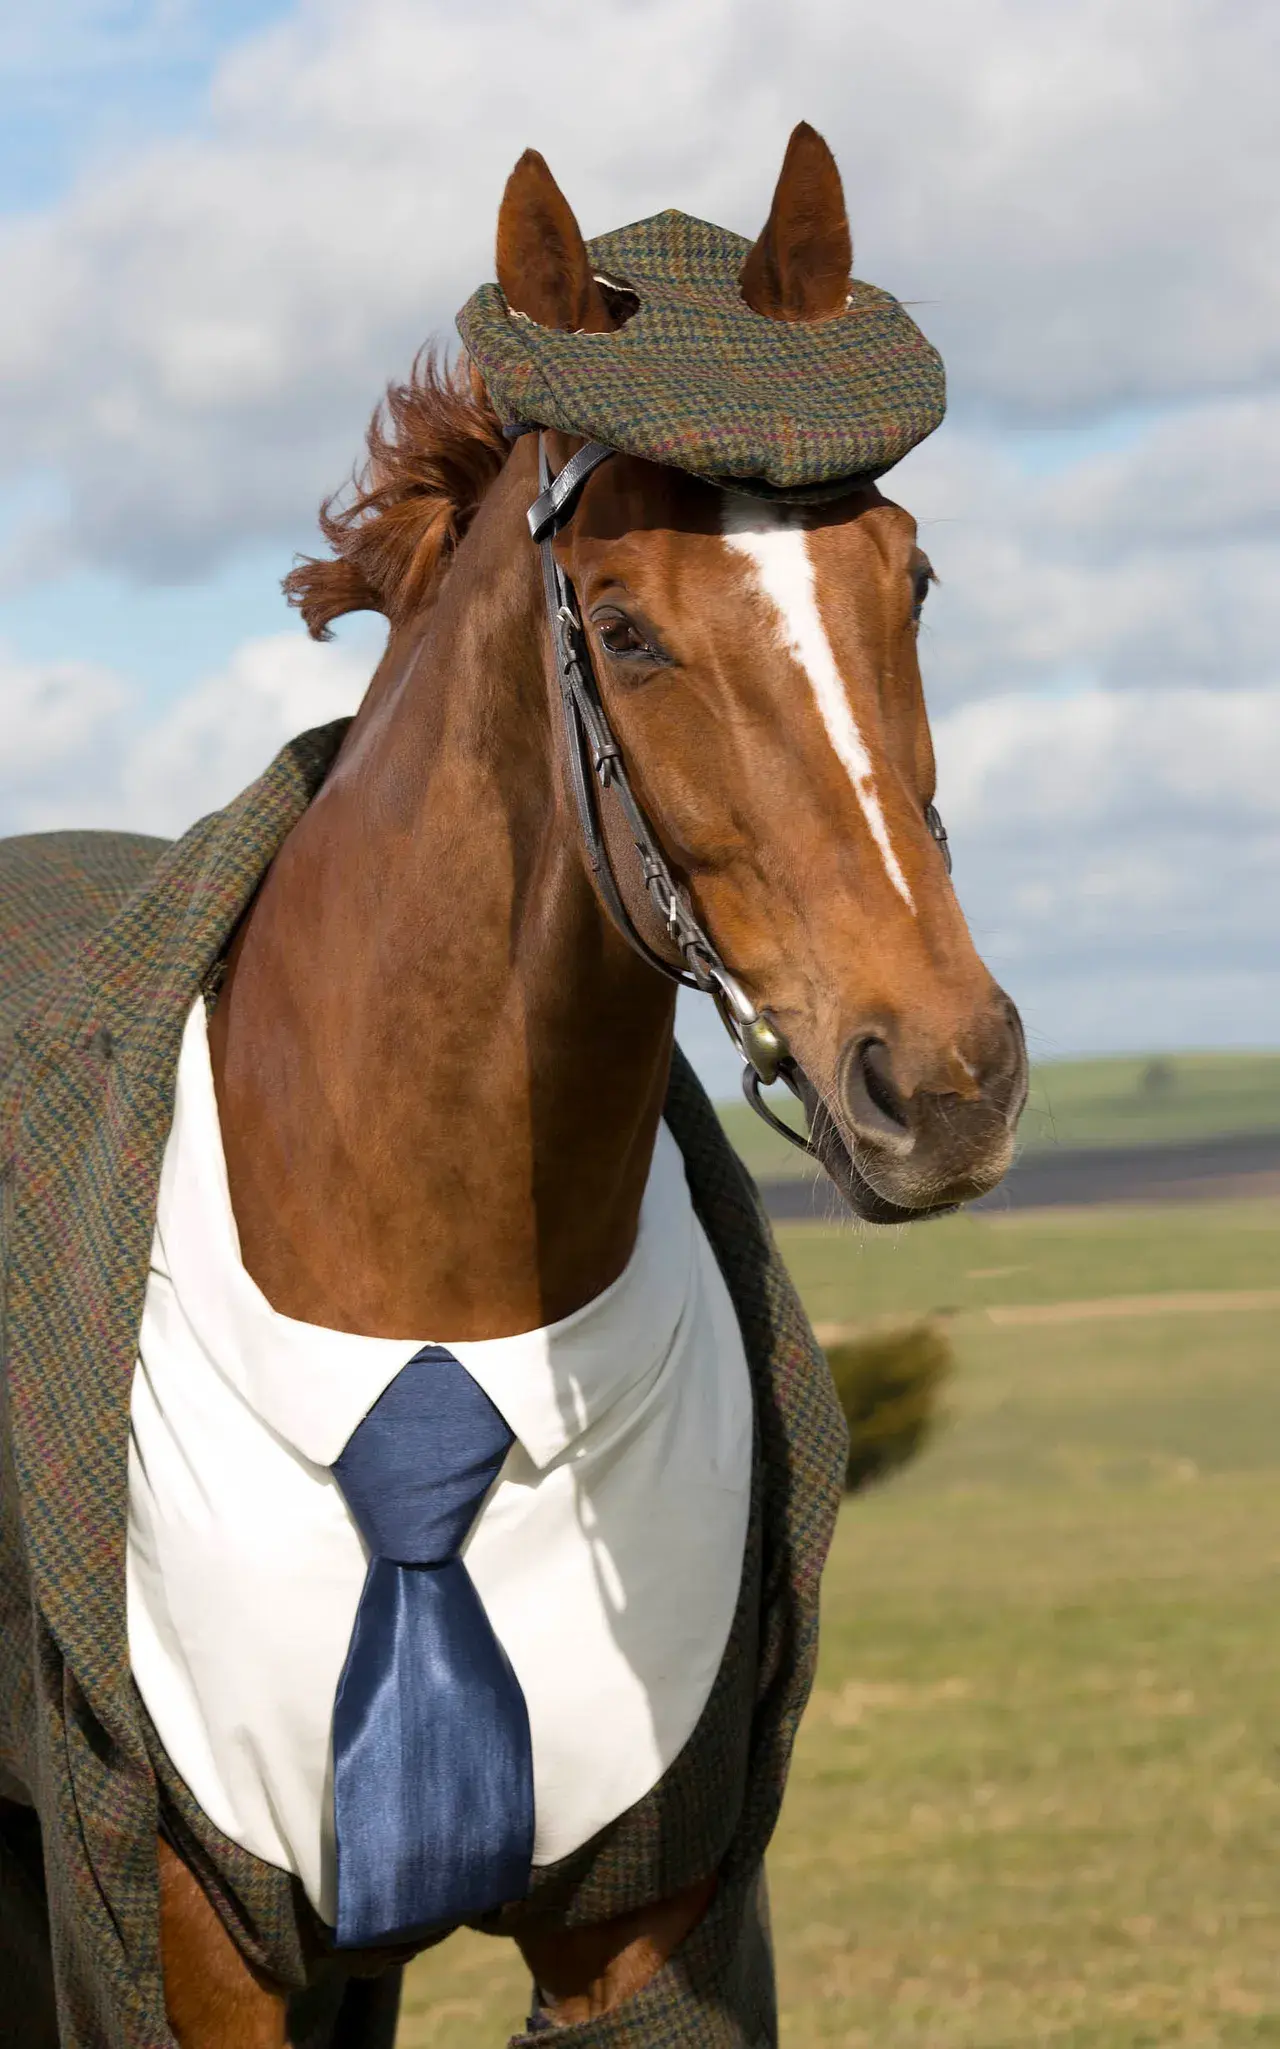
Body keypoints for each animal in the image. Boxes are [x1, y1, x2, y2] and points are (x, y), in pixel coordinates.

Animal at [1, 125, 1025, 2047]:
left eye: (907, 578)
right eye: (622, 630)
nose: (942, 1079)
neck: (431, 1307)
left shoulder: (646, 1922)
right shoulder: (191, 1939)